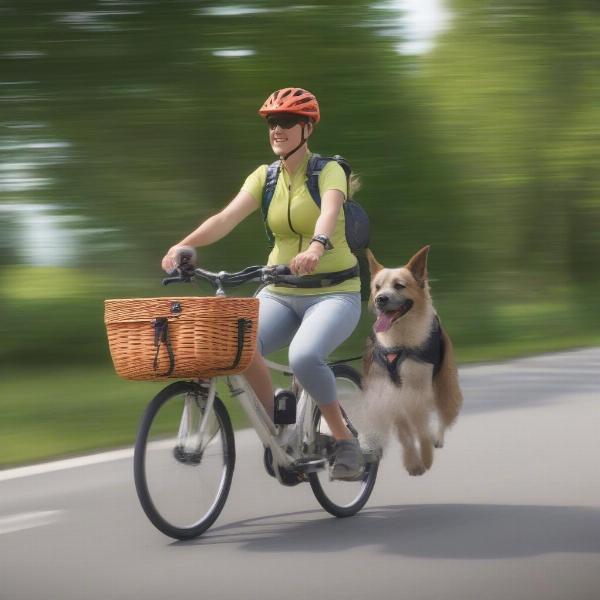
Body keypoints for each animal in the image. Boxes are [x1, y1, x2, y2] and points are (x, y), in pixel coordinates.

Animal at [360, 246, 464, 476]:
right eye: (377, 287)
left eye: (399, 285)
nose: (380, 298)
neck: (399, 341)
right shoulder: (390, 392)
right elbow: (405, 433)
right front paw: (413, 462)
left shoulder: (418, 390)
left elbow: (420, 429)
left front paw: (425, 457)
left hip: (445, 387)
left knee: (443, 415)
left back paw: (437, 439)